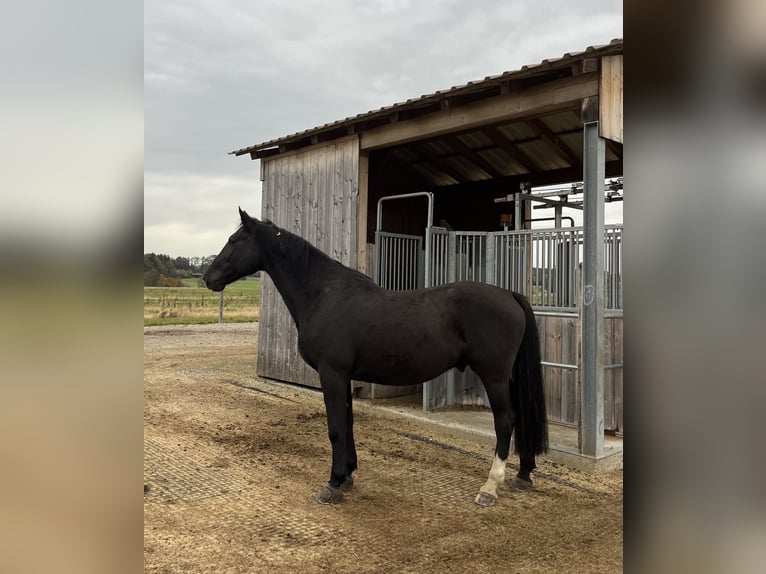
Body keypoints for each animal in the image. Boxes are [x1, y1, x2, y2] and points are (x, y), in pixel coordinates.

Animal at [206, 209, 544, 506]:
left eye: (234, 240)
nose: (208, 277)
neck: (324, 295)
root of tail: (509, 295)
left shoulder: (331, 374)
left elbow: (335, 427)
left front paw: (332, 484)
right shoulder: (343, 377)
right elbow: (348, 422)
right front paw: (347, 476)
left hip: (494, 376)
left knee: (505, 421)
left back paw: (490, 487)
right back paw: (523, 474)